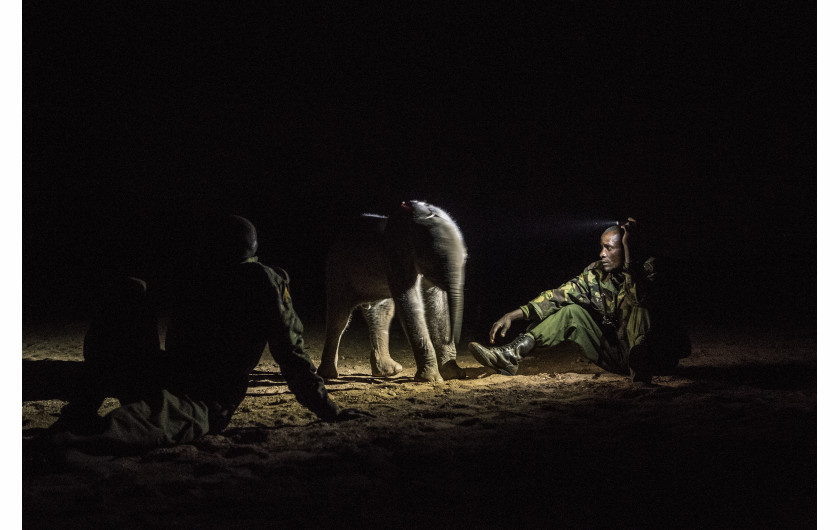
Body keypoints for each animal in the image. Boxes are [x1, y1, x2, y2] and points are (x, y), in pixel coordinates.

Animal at [316, 199, 466, 380]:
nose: (454, 338)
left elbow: (437, 302)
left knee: (382, 313)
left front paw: (453, 373)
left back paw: (389, 372)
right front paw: (432, 379)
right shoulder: (395, 255)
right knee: (339, 317)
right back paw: (328, 375)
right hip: (337, 271)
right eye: (435, 259)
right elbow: (410, 301)